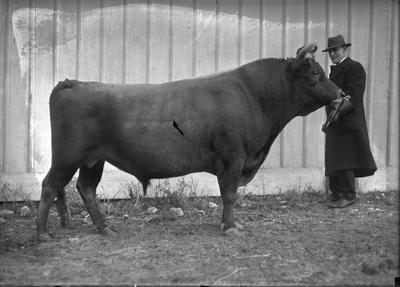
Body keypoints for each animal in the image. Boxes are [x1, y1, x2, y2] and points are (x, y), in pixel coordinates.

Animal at [36, 42, 340, 241]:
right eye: (315, 73)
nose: (340, 93)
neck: (254, 96)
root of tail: (72, 82)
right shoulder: (233, 156)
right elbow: (229, 194)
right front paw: (230, 226)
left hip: (92, 159)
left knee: (85, 189)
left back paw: (104, 228)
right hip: (67, 157)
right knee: (50, 186)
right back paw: (42, 234)